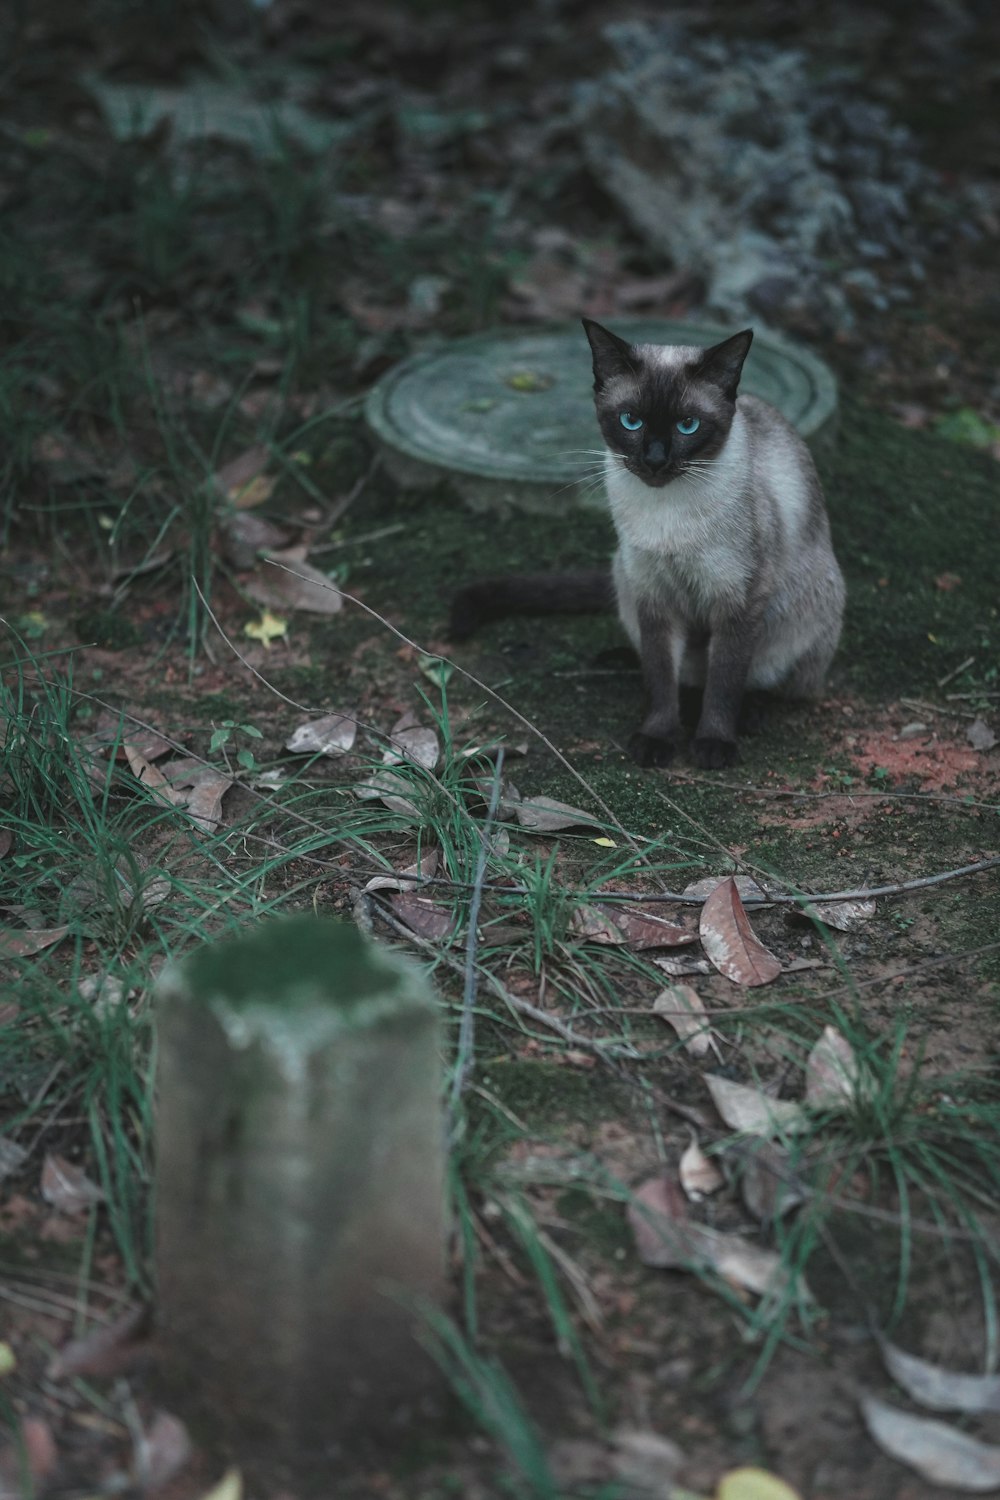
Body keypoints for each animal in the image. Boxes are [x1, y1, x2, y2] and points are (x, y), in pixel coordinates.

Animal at [449, 322, 851, 768]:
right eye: (631, 421)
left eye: (687, 425)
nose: (655, 460)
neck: (665, 516)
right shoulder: (653, 595)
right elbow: (660, 677)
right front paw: (656, 740)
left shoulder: (738, 600)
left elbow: (725, 681)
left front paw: (713, 745)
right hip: (623, 577)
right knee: (678, 675)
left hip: (800, 615)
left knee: (779, 686)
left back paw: (750, 712)